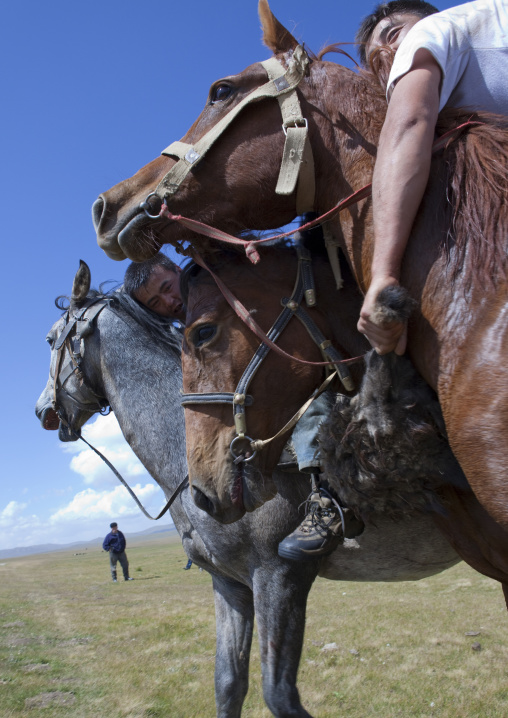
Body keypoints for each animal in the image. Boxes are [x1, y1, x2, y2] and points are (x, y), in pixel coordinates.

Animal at [36, 261, 463, 718]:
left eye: (50, 339)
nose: (43, 411)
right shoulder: (230, 584)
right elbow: (228, 682)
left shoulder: (278, 575)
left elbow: (279, 693)